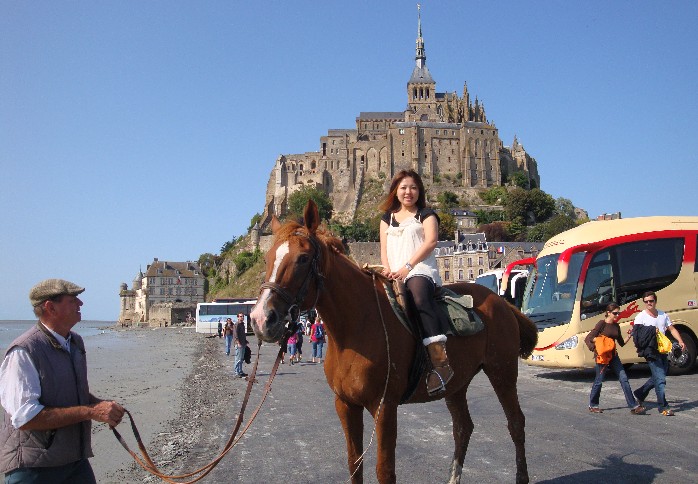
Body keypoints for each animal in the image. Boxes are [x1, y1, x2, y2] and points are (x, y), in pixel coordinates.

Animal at [250, 201, 540, 484]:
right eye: (267, 258)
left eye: (303, 258)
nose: (260, 318)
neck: (355, 327)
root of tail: (502, 303)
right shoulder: (345, 405)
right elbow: (354, 465)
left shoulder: (384, 407)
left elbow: (385, 471)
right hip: (457, 383)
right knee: (463, 428)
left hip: (502, 371)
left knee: (516, 423)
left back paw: (521, 475)